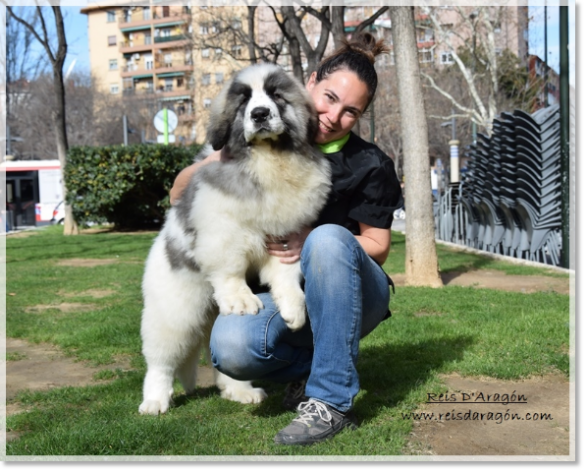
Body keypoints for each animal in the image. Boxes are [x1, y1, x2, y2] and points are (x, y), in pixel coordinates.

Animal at [136, 63, 328, 416]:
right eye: (244, 101)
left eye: (276, 95)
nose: (260, 113)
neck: (268, 158)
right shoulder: (221, 228)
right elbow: (230, 267)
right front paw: (241, 299)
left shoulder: (287, 232)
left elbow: (286, 273)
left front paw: (294, 306)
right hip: (175, 309)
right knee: (161, 359)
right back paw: (155, 400)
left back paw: (239, 391)